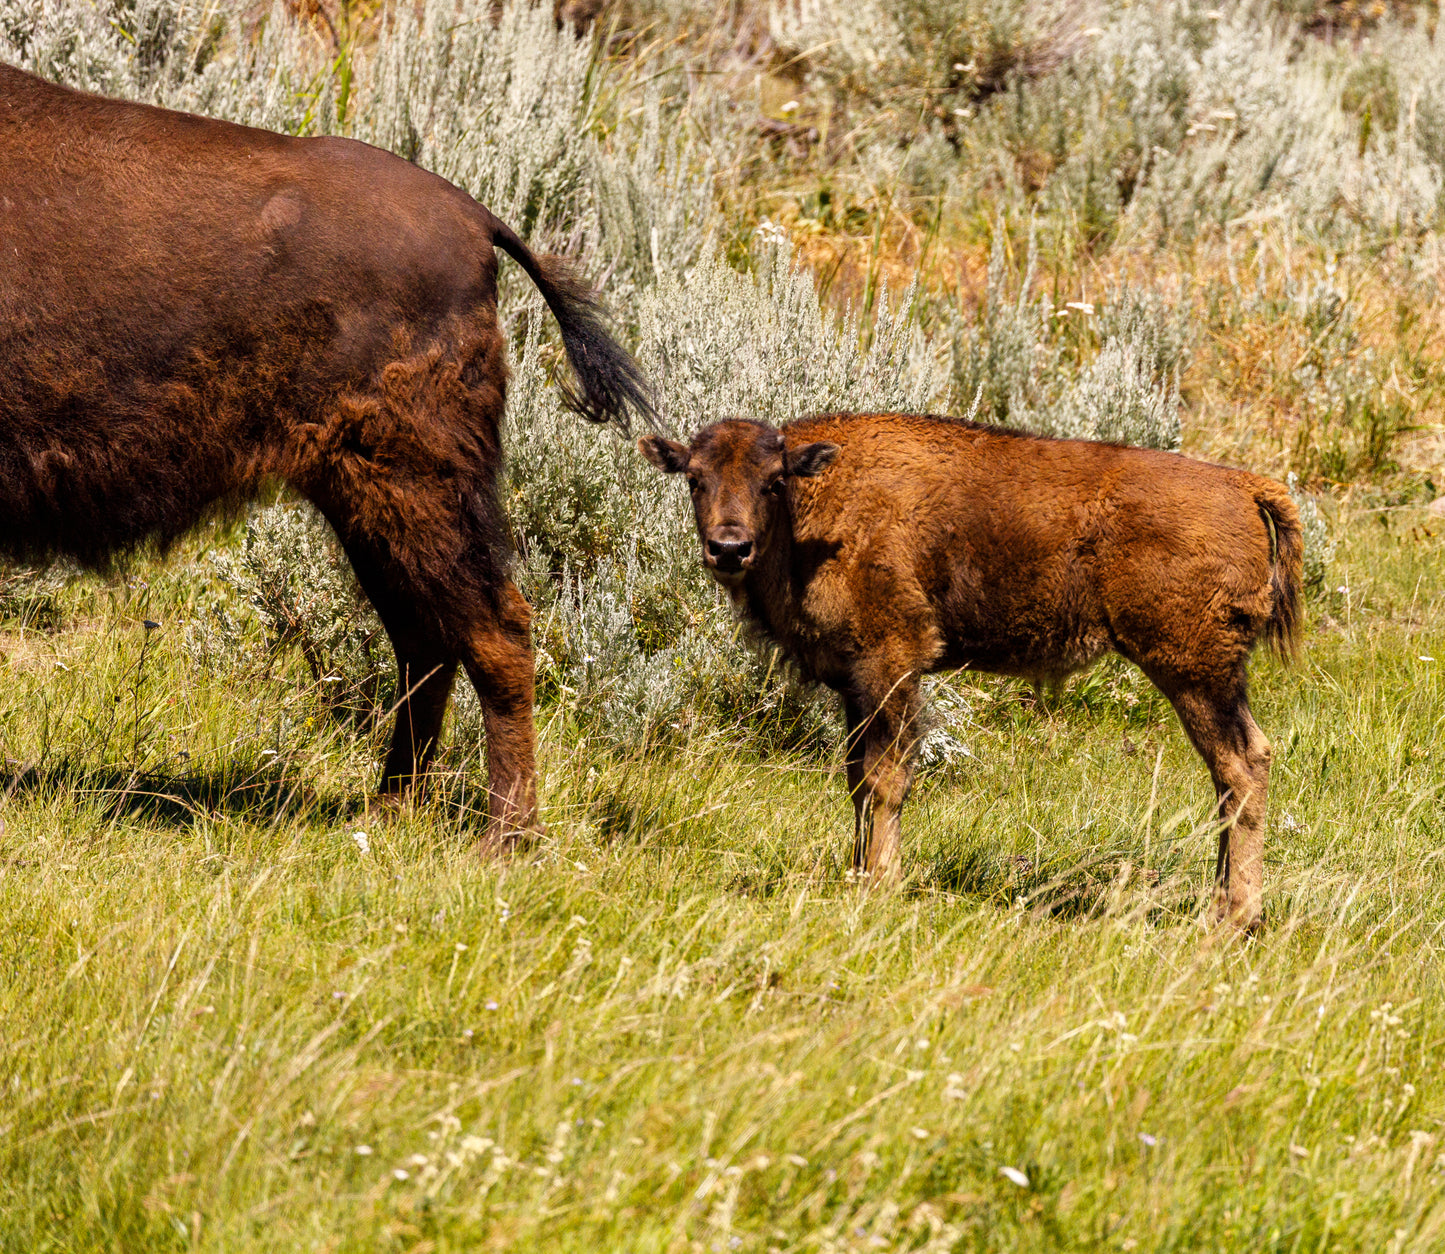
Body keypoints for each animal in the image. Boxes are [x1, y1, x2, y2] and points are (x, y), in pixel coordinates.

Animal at [1, 61, 656, 843]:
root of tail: (475, 219)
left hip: (408, 487)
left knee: (494, 632)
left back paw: (505, 836)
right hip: (370, 504)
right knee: (428, 641)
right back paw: (391, 808)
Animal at [638, 416, 1306, 924]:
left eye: (773, 482)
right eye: (695, 479)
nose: (729, 548)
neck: (815, 511)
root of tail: (1244, 485)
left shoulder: (892, 663)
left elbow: (886, 778)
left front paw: (882, 883)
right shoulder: (855, 683)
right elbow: (856, 780)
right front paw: (857, 874)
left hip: (1192, 672)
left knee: (1241, 768)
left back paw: (1235, 917)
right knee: (1235, 773)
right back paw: (1222, 907)